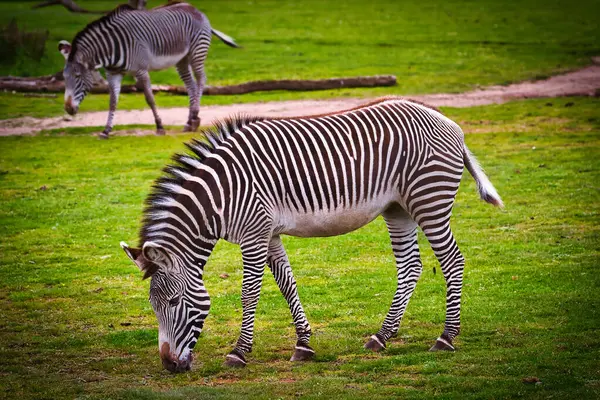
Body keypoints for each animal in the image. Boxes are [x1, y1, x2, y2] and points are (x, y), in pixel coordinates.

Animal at [58, 1, 239, 139]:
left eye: (78, 76)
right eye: (64, 77)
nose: (68, 109)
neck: (110, 50)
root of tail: (194, 8)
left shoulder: (141, 70)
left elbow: (150, 98)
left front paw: (159, 127)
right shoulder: (113, 73)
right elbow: (112, 101)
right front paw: (106, 130)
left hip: (197, 52)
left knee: (201, 80)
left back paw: (194, 116)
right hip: (181, 59)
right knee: (191, 85)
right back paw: (189, 122)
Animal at [120, 97, 502, 372]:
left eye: (173, 302)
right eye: (153, 306)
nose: (170, 367)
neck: (221, 195)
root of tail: (446, 120)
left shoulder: (254, 233)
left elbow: (249, 294)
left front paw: (239, 352)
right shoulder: (269, 233)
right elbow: (287, 284)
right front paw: (303, 345)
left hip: (429, 200)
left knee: (452, 261)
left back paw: (446, 337)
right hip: (398, 208)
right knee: (410, 267)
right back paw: (382, 336)